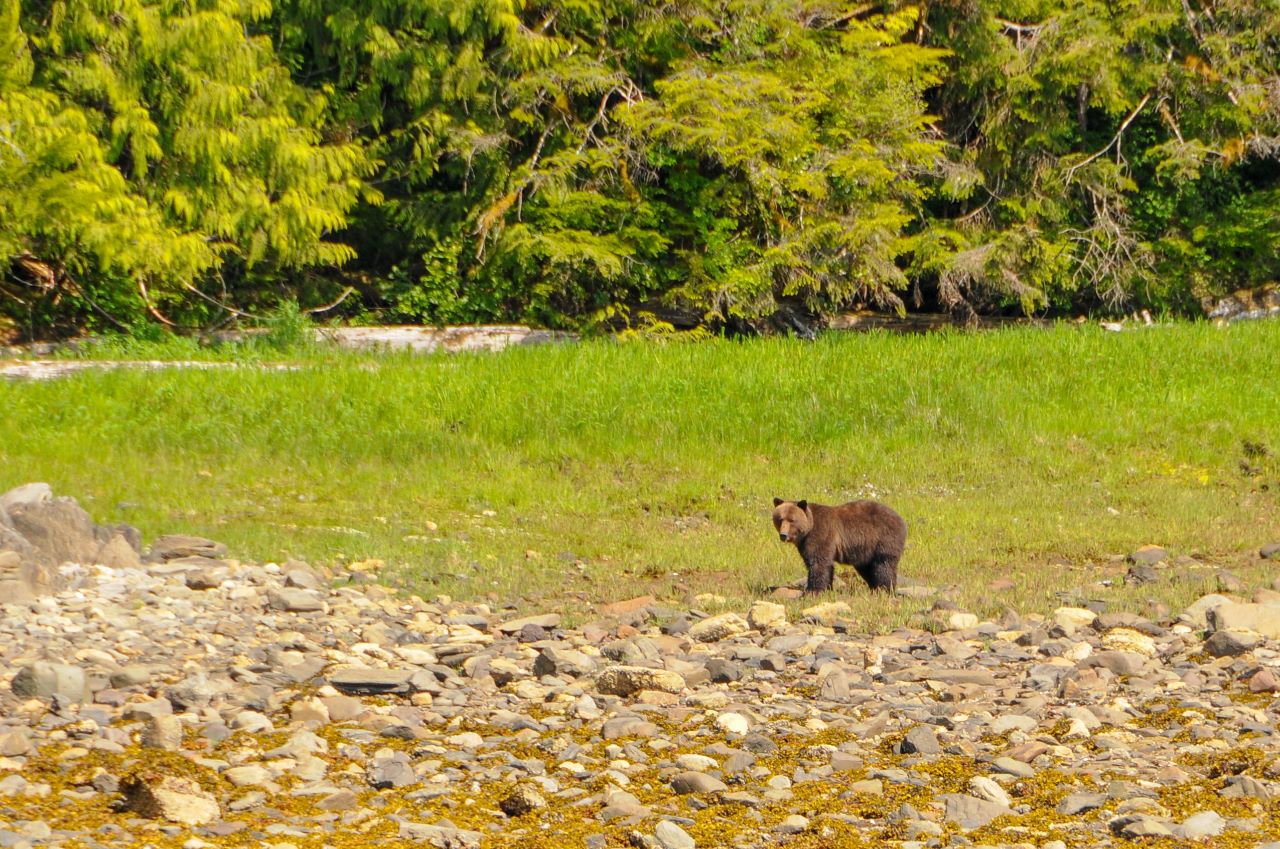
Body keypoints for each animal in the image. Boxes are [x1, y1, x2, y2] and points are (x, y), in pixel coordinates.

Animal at [773, 494, 906, 594]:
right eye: (780, 519)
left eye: (792, 520)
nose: (783, 535)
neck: (808, 530)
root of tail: (902, 520)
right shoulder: (805, 544)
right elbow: (821, 563)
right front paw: (826, 588)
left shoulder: (821, 534)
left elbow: (818, 562)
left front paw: (813, 590)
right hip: (865, 551)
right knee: (868, 567)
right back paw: (874, 588)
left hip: (883, 539)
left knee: (884, 565)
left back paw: (884, 589)